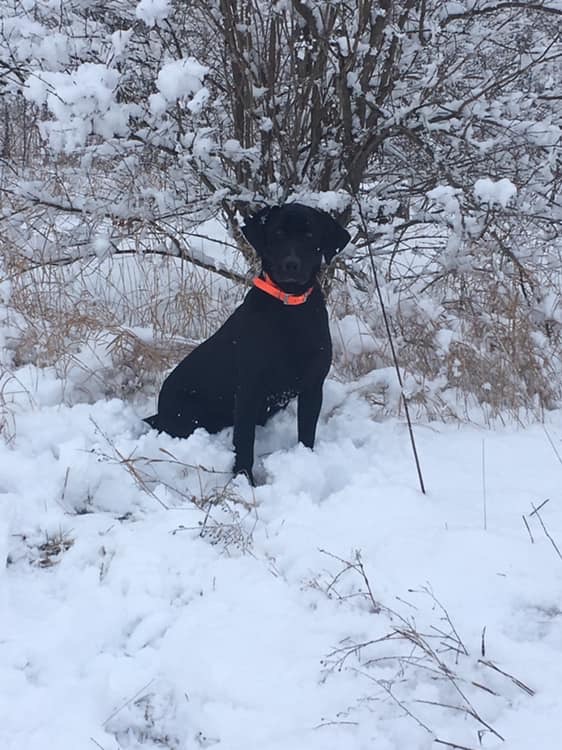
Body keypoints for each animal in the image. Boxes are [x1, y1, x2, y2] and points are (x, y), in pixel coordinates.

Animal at [144, 203, 348, 484]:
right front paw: (243, 480)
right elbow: (244, 442)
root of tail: (160, 411)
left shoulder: (313, 386)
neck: (290, 310)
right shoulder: (249, 391)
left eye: (309, 236)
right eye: (277, 233)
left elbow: (307, 433)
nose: (291, 265)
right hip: (188, 416)